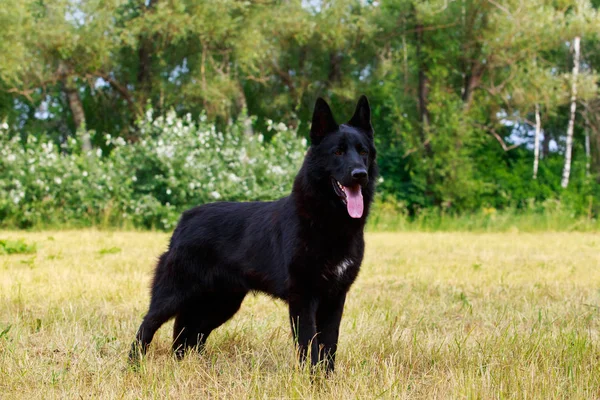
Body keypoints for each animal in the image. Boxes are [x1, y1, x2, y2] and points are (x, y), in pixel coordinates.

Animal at [129, 95, 378, 374]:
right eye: (337, 152)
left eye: (363, 152)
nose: (360, 175)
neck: (327, 222)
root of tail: (186, 218)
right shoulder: (304, 299)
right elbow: (309, 346)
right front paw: (310, 379)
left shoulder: (335, 298)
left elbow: (329, 346)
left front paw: (327, 379)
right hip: (175, 294)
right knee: (148, 326)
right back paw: (134, 365)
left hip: (221, 302)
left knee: (187, 333)